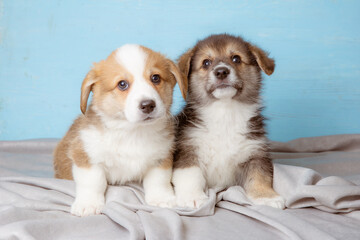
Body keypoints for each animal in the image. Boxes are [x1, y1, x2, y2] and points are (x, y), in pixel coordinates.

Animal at [55, 44, 188, 217]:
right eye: (122, 84)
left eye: (155, 78)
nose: (148, 105)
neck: (132, 132)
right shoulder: (85, 156)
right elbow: (92, 182)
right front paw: (88, 204)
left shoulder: (161, 157)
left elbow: (159, 180)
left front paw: (161, 199)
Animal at [173, 33, 286, 208]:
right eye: (206, 62)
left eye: (236, 59)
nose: (221, 71)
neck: (225, 112)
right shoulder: (187, 150)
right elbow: (190, 176)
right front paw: (193, 198)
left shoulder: (255, 152)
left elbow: (260, 177)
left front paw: (267, 197)